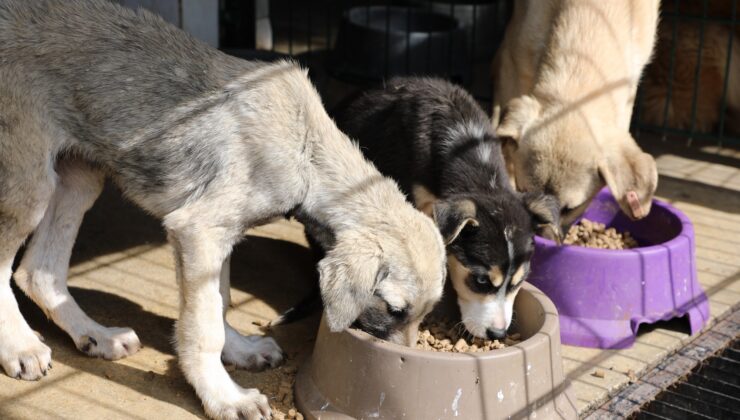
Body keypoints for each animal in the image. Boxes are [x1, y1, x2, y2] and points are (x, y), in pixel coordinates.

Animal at [0, 1, 446, 418]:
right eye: (394, 309)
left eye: (425, 314)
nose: (403, 363)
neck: (305, 149)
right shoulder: (198, 231)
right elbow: (205, 327)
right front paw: (224, 396)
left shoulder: (221, 235)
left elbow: (220, 299)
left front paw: (240, 351)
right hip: (29, 184)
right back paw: (21, 346)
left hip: (79, 178)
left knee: (38, 271)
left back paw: (96, 335)